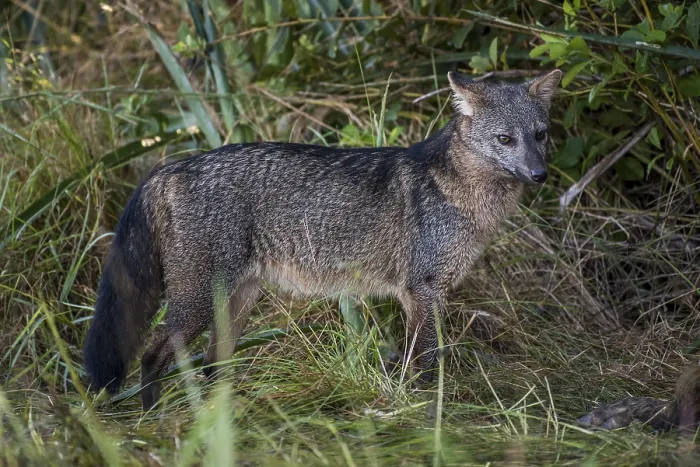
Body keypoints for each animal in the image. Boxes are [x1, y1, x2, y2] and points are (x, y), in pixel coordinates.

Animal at [83, 69, 563, 409]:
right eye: (505, 139)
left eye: (540, 135)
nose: (540, 175)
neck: (464, 196)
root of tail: (173, 166)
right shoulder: (422, 291)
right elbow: (424, 361)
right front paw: (425, 409)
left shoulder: (423, 295)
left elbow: (416, 358)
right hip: (197, 304)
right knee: (155, 356)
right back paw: (155, 415)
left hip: (235, 306)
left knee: (211, 366)